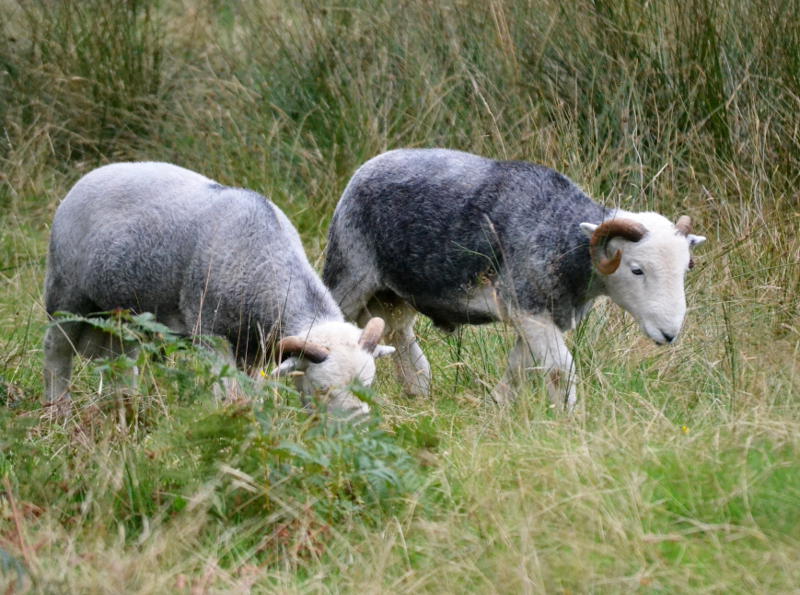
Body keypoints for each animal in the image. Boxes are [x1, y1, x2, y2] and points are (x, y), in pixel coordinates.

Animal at [43, 163, 394, 414]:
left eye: (369, 385)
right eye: (323, 389)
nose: (358, 427)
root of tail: (93, 174)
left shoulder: (255, 351)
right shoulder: (211, 334)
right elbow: (226, 394)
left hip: (131, 313)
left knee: (123, 359)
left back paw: (125, 408)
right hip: (66, 292)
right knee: (56, 351)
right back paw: (57, 411)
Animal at [322, 148, 708, 410]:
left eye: (685, 269)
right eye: (636, 269)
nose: (669, 334)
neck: (561, 235)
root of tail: (370, 164)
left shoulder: (537, 314)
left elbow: (520, 367)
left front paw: (497, 404)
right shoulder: (529, 307)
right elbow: (560, 369)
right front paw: (571, 418)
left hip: (394, 294)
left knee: (398, 335)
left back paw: (418, 390)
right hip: (350, 272)